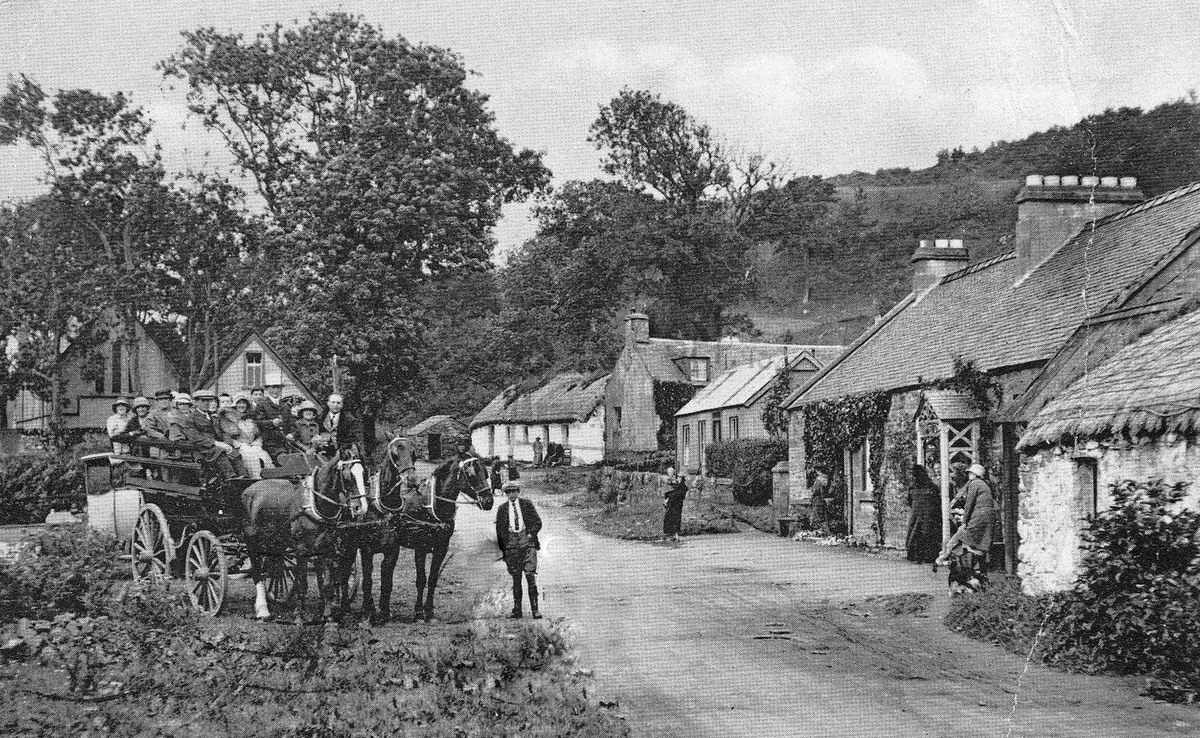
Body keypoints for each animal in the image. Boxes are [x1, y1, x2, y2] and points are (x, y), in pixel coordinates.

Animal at [235, 439, 362, 624]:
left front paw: (328, 616)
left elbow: (327, 583)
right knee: (257, 571)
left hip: (275, 540)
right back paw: (263, 609)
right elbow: (302, 583)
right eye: (348, 476)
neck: (313, 504)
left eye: (364, 473)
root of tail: (250, 488)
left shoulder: (328, 548)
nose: (360, 508)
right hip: (251, 538)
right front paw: (298, 617)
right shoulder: (302, 549)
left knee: (275, 564)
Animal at [348, 439, 492, 624]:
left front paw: (429, 612)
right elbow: (420, 579)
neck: (431, 506)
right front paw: (418, 613)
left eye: (485, 472)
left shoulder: (441, 548)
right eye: (471, 473)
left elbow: (432, 579)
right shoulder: (420, 548)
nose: (488, 501)